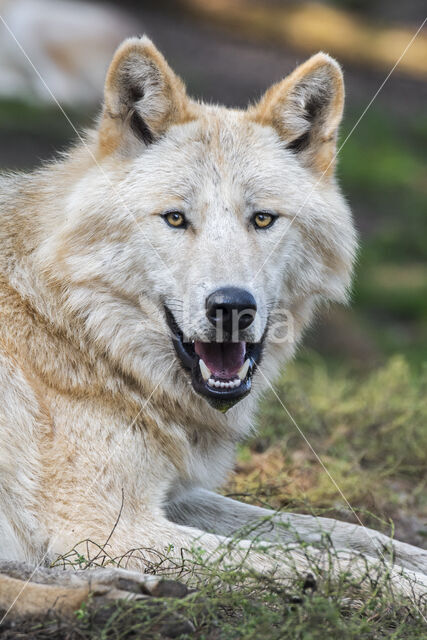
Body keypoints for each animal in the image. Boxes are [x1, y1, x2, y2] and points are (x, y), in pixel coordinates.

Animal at [0, 36, 427, 604]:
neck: (79, 333)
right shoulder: (107, 529)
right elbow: (314, 556)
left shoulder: (178, 495)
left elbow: (347, 533)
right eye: (176, 218)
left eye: (263, 218)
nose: (231, 307)